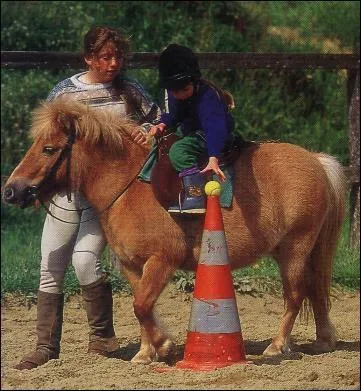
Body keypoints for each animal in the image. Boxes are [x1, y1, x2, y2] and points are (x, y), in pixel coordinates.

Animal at [3, 99, 346, 366]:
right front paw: (145, 353)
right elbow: (141, 305)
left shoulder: (162, 260)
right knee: (315, 289)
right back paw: (323, 341)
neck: (129, 186)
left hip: (295, 248)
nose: (11, 190)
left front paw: (164, 346)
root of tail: (316, 161)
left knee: (295, 295)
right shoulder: (133, 266)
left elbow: (142, 305)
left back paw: (277, 345)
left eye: (49, 149)